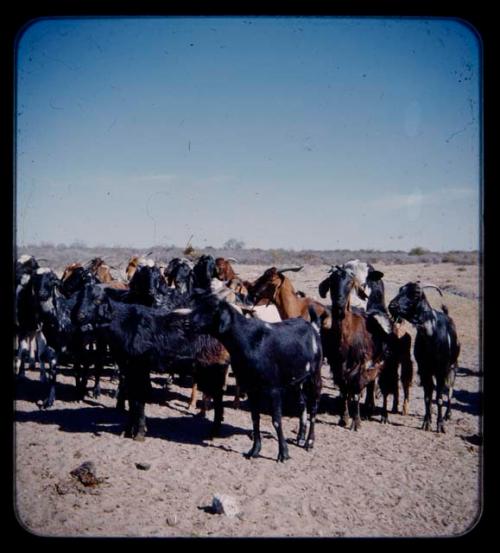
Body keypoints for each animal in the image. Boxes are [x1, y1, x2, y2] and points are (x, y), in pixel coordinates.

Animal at [189, 294, 322, 462]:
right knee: (302, 404)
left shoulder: (273, 388)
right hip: (297, 381)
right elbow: (255, 418)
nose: (188, 322)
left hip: (314, 375)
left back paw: (309, 442)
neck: (249, 341)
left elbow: (276, 420)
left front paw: (283, 453)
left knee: (314, 406)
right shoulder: (251, 388)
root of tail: (313, 326)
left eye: (211, 309)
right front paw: (254, 450)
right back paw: (300, 437)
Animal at [386, 280, 460, 432]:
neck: (431, 336)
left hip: (453, 367)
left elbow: (439, 398)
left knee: (450, 390)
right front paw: (426, 422)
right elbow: (427, 396)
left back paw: (447, 415)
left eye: (415, 294)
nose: (392, 306)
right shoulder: (424, 368)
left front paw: (440, 425)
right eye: (400, 290)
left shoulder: (441, 369)